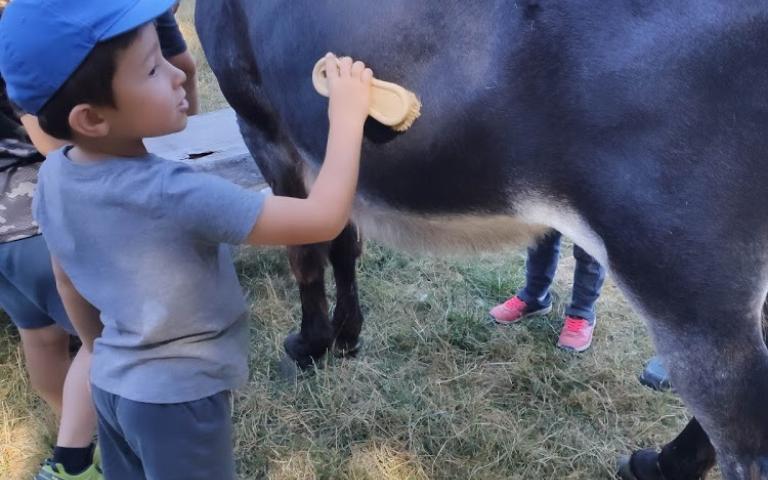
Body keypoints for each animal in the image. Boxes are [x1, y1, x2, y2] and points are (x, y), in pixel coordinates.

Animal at [195, 1, 768, 478]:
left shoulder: (262, 122)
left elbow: (307, 252)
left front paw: (309, 345)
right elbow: (341, 242)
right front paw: (346, 335)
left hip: (682, 274)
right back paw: (657, 464)